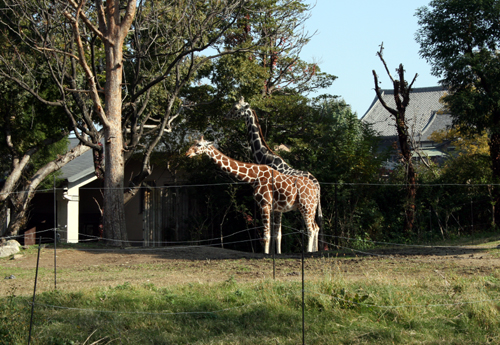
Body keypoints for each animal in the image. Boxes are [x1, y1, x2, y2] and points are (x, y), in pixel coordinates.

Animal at [185, 136, 320, 253]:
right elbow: (277, 235)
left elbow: (266, 236)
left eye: (199, 144)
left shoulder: (264, 204)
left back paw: (308, 252)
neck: (253, 177)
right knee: (316, 227)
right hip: (311, 207)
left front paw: (266, 255)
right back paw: (314, 251)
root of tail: (316, 187)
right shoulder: (275, 208)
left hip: (305, 206)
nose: (187, 154)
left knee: (310, 229)